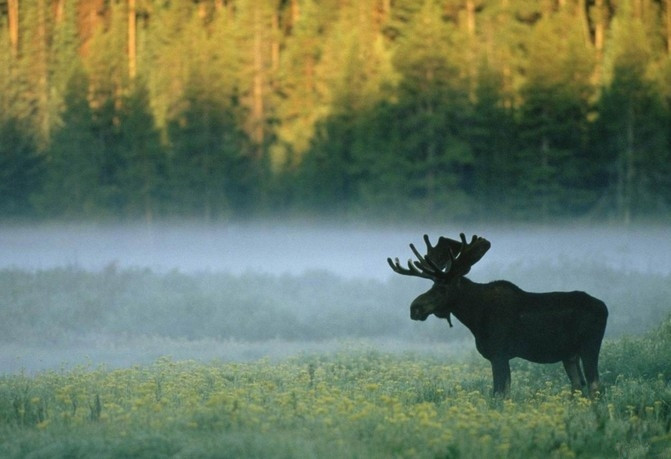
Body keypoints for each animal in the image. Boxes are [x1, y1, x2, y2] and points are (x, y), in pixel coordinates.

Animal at [388, 235, 608, 398]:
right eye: (432, 285)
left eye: (442, 287)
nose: (415, 308)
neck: (474, 316)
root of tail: (605, 308)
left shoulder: (499, 353)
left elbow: (499, 394)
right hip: (569, 354)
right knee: (578, 384)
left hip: (589, 345)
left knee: (594, 384)